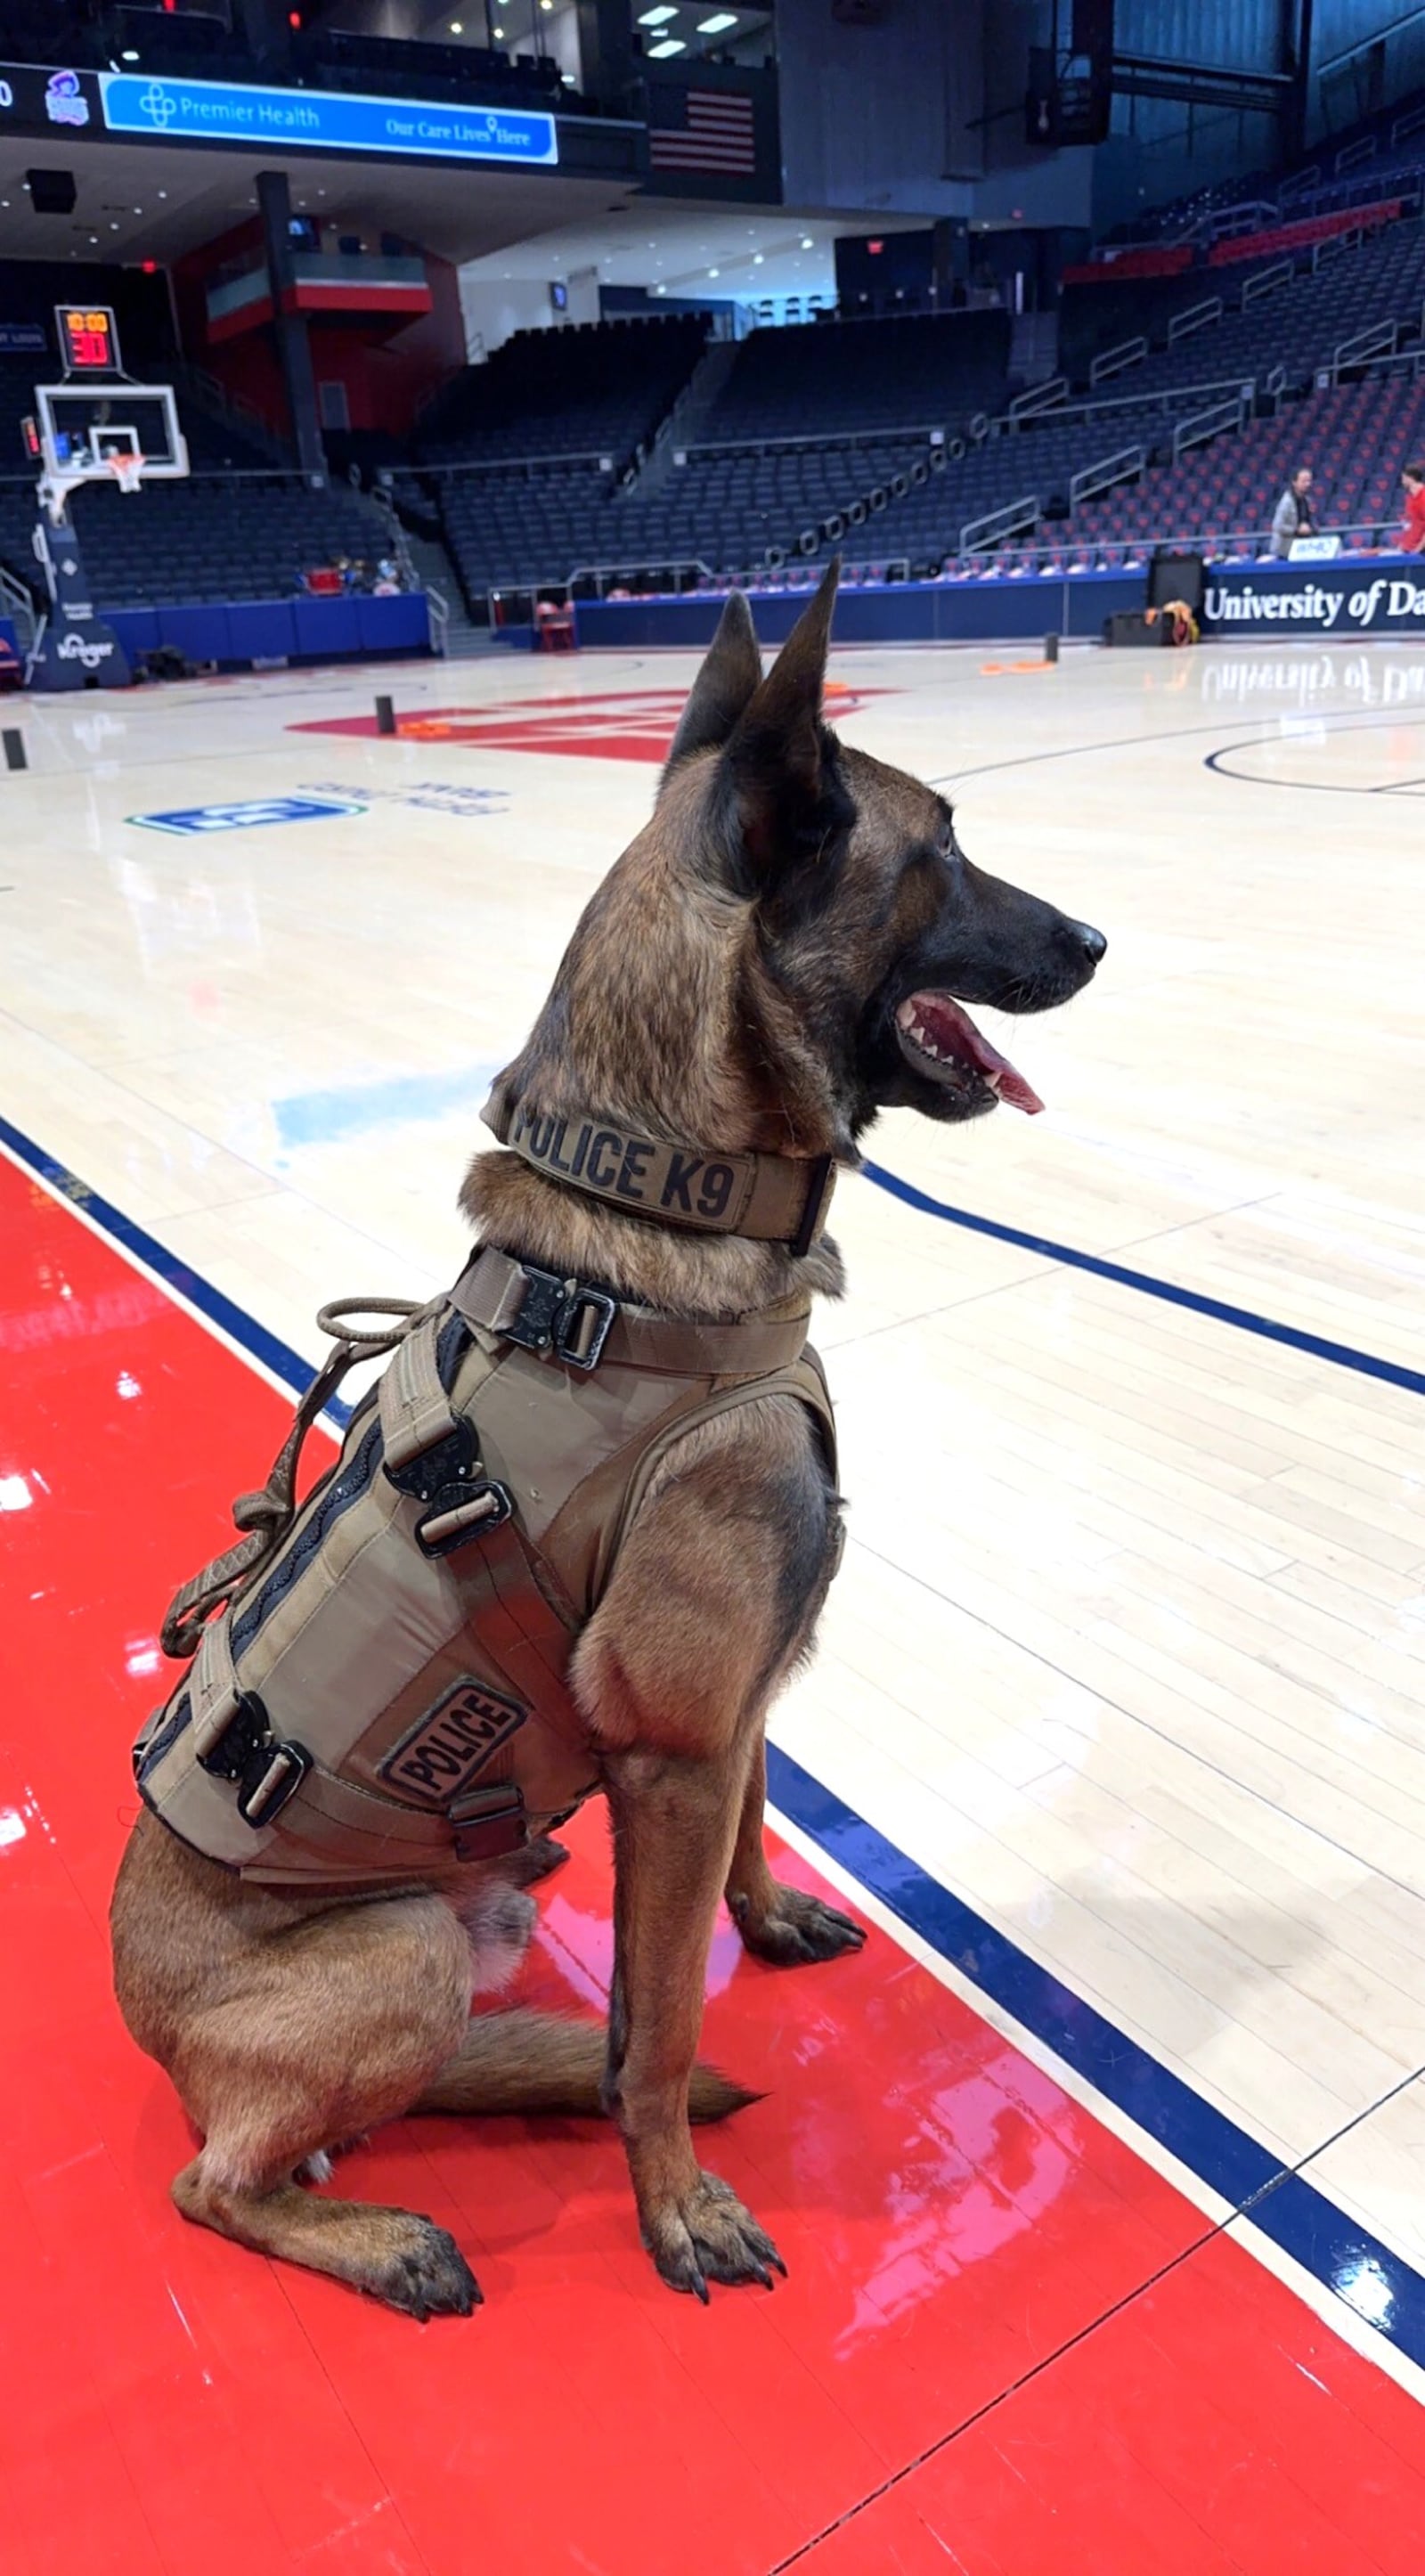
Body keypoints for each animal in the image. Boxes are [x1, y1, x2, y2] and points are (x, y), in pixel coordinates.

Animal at [116, 564, 1108, 2318]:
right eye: (945, 849)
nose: (1099, 942)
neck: (655, 1220)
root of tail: (153, 2031)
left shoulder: (726, 1719)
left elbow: (745, 1840)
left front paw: (764, 1919)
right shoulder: (675, 1746)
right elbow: (658, 2032)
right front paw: (675, 2203)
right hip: (399, 1951)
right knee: (214, 2183)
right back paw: (379, 2238)